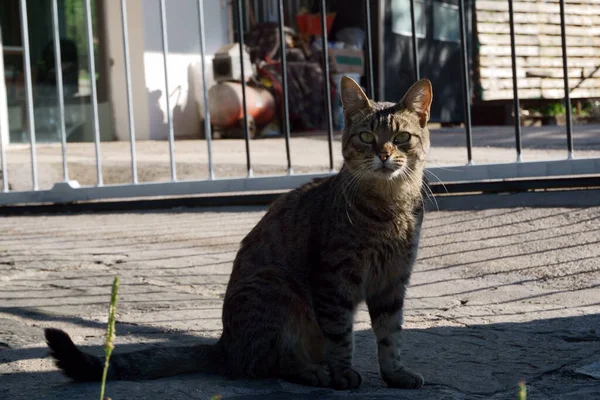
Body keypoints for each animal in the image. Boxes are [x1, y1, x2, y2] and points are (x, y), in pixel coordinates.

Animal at [45, 76, 432, 390]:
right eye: (367, 137)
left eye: (401, 138)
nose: (385, 154)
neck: (389, 207)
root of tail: (224, 344)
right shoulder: (334, 281)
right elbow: (340, 336)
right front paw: (342, 373)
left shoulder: (393, 282)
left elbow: (390, 336)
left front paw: (395, 373)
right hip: (278, 293)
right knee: (264, 363)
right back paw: (313, 371)